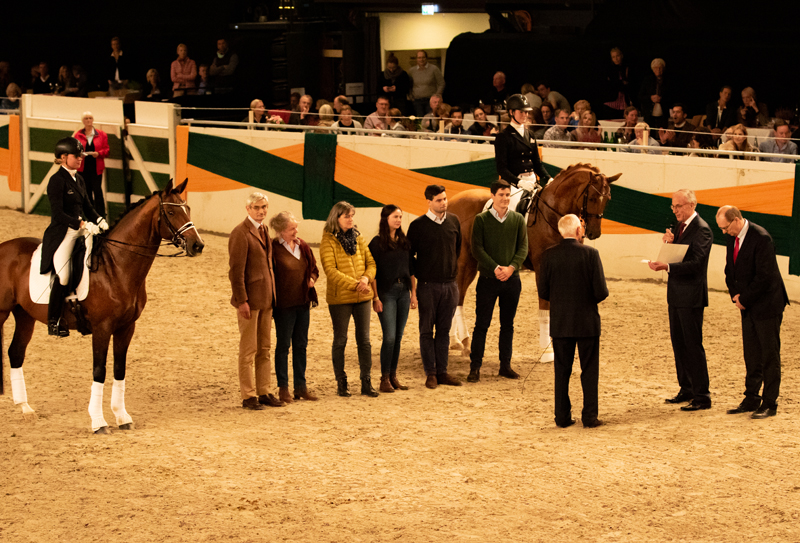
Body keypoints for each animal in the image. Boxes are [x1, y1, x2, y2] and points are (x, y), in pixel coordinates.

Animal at [0, 178, 206, 434]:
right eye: (170, 212)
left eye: (187, 209)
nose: (197, 245)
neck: (116, 266)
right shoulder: (102, 328)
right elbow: (99, 371)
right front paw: (98, 421)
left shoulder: (126, 327)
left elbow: (119, 369)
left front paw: (122, 417)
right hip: (2, 312)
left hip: (24, 315)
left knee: (16, 352)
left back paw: (26, 409)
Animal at [446, 166, 620, 362]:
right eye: (591, 198)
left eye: (607, 199)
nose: (594, 233)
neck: (553, 216)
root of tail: (452, 202)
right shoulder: (542, 268)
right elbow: (544, 308)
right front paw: (547, 351)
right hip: (465, 262)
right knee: (459, 297)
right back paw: (465, 342)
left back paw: (454, 341)